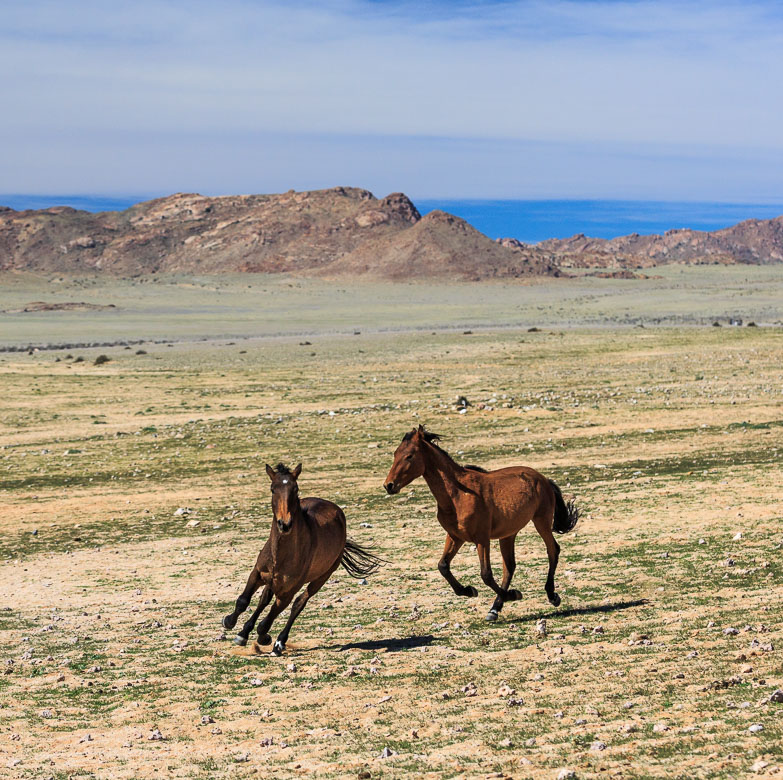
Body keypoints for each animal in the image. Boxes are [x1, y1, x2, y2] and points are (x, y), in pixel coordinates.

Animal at [220, 464, 382, 652]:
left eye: (295, 489)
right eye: (273, 489)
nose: (285, 524)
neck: (281, 554)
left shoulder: (288, 590)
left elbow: (272, 616)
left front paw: (262, 636)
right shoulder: (258, 573)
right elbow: (243, 600)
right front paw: (232, 624)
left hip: (321, 578)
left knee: (299, 604)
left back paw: (279, 642)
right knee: (265, 599)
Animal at [382, 426, 580, 620]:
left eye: (409, 456)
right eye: (395, 454)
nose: (389, 485)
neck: (458, 494)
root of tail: (544, 479)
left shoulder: (481, 539)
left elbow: (486, 574)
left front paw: (513, 594)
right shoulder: (455, 537)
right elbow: (443, 566)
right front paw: (468, 590)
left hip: (541, 521)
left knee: (552, 550)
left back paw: (552, 595)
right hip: (508, 533)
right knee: (510, 566)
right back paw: (494, 609)